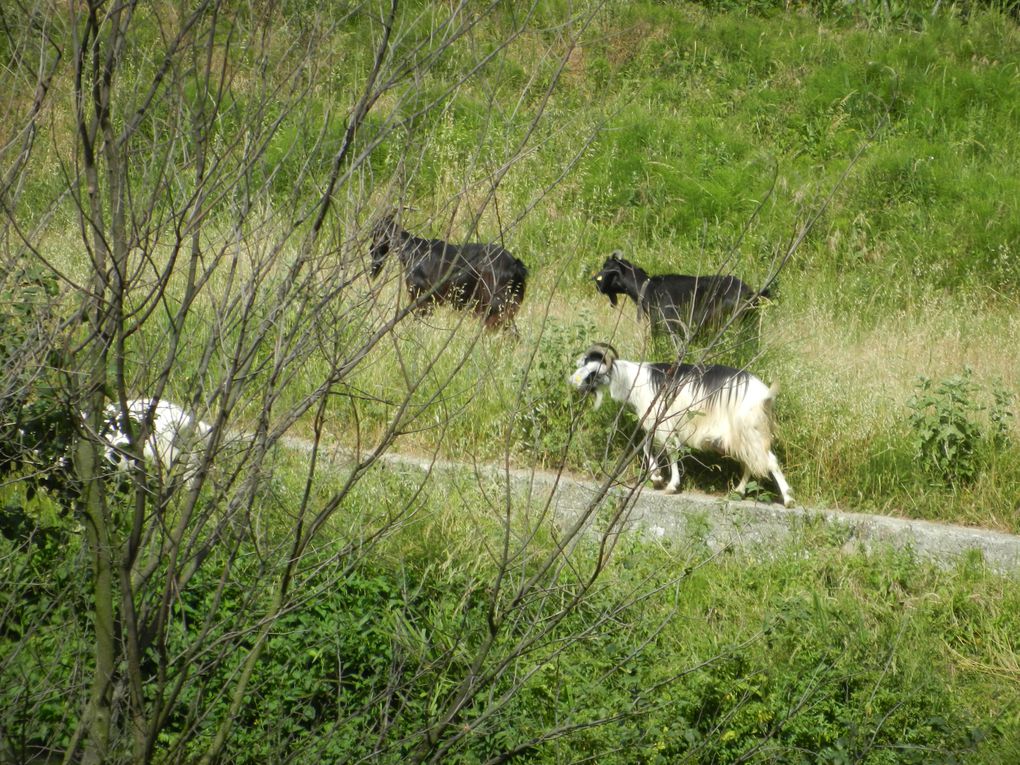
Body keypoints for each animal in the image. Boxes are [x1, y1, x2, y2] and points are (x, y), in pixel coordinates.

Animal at [567, 344, 795, 505]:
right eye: (582, 366)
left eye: (594, 372)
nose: (572, 383)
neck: (634, 380)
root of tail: (765, 395)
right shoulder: (655, 424)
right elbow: (647, 447)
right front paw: (657, 477)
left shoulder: (662, 423)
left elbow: (670, 451)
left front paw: (671, 485)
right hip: (742, 435)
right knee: (751, 461)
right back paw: (738, 492)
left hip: (749, 431)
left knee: (768, 461)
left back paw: (788, 500)